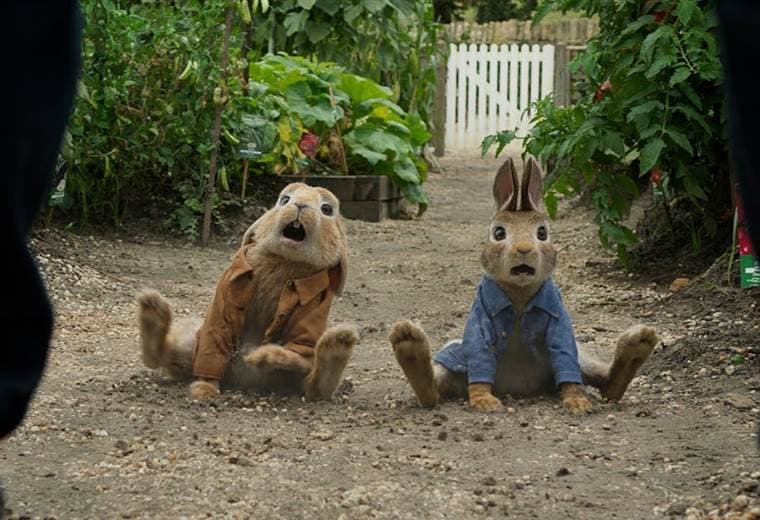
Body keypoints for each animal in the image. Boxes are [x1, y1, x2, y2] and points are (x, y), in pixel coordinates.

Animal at [136, 182, 357, 401]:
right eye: (284, 200)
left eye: (327, 209)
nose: (300, 205)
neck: (287, 260)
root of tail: (240, 379)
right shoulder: (224, 300)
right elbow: (215, 340)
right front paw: (205, 390)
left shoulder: (315, 304)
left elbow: (300, 340)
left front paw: (265, 356)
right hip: (193, 344)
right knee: (163, 357)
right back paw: (152, 308)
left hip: (296, 376)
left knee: (314, 387)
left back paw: (337, 343)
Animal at [389, 157, 658, 413]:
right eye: (499, 233)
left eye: (542, 233)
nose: (524, 249)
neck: (519, 294)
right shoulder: (480, 317)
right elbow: (479, 352)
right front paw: (484, 402)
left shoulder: (559, 320)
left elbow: (564, 355)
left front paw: (577, 402)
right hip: (453, 360)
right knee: (435, 388)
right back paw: (408, 342)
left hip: (581, 359)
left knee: (606, 384)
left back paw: (639, 343)